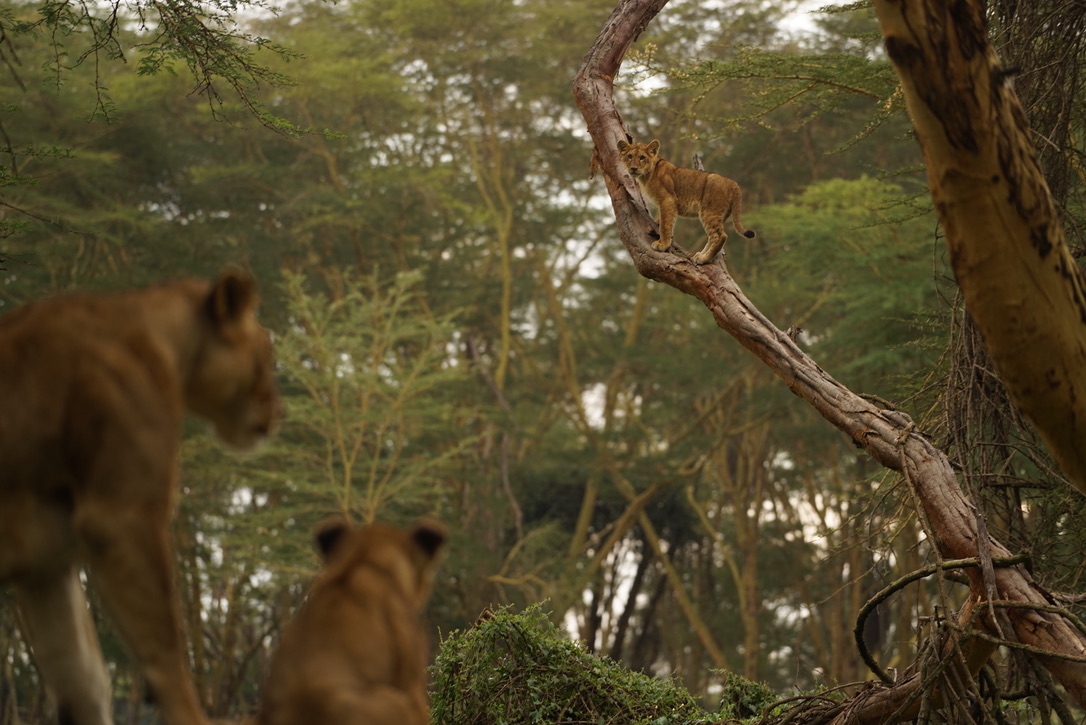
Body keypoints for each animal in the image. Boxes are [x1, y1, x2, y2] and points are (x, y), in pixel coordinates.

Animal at [0, 269, 281, 725]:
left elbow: (83, 681)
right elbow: (165, 653)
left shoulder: (46, 567)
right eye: (269, 355)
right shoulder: (121, 518)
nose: (279, 410)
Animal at [617, 138, 756, 265]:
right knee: (712, 237)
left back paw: (703, 259)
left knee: (720, 236)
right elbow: (664, 219)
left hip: (709, 211)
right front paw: (654, 227)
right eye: (629, 156)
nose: (633, 168)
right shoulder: (668, 204)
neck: (646, 175)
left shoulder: (667, 200)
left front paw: (663, 244)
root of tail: (733, 183)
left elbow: (666, 224)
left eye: (642, 157)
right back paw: (700, 255)